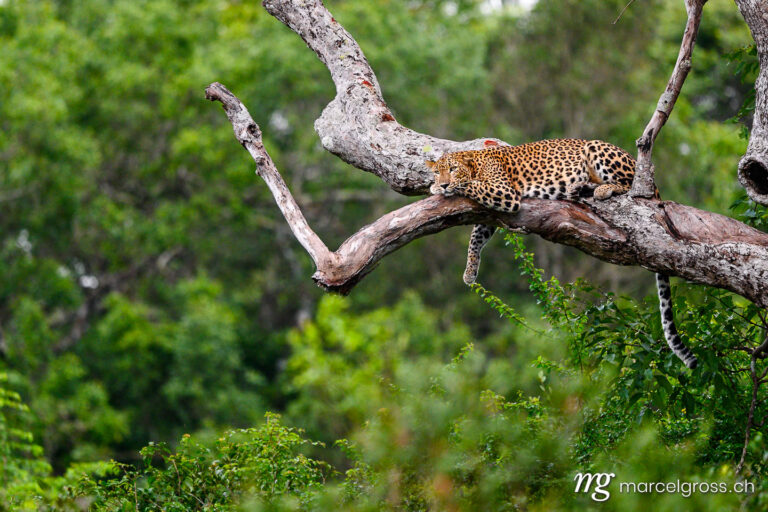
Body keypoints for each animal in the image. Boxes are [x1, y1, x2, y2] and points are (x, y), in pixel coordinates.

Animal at [428, 137, 700, 368]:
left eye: (452, 169)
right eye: (437, 170)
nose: (442, 182)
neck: (475, 162)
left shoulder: (505, 194)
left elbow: (472, 186)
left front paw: (442, 188)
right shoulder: (490, 213)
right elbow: (476, 238)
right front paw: (470, 271)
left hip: (597, 148)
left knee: (628, 186)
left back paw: (600, 189)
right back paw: (581, 187)